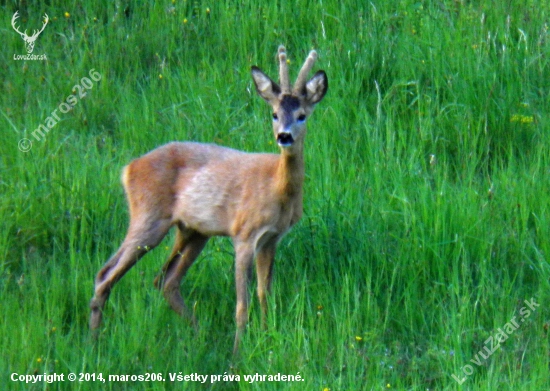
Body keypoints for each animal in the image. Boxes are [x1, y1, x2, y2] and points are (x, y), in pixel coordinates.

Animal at [91, 46, 330, 356]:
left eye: (301, 115)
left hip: (193, 230)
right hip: (148, 217)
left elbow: (265, 294)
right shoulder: (244, 234)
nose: (284, 136)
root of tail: (128, 169)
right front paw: (238, 354)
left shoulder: (271, 239)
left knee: (165, 280)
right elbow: (242, 304)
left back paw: (198, 334)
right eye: (274, 114)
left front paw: (268, 339)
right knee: (106, 274)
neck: (277, 190)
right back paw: (94, 341)